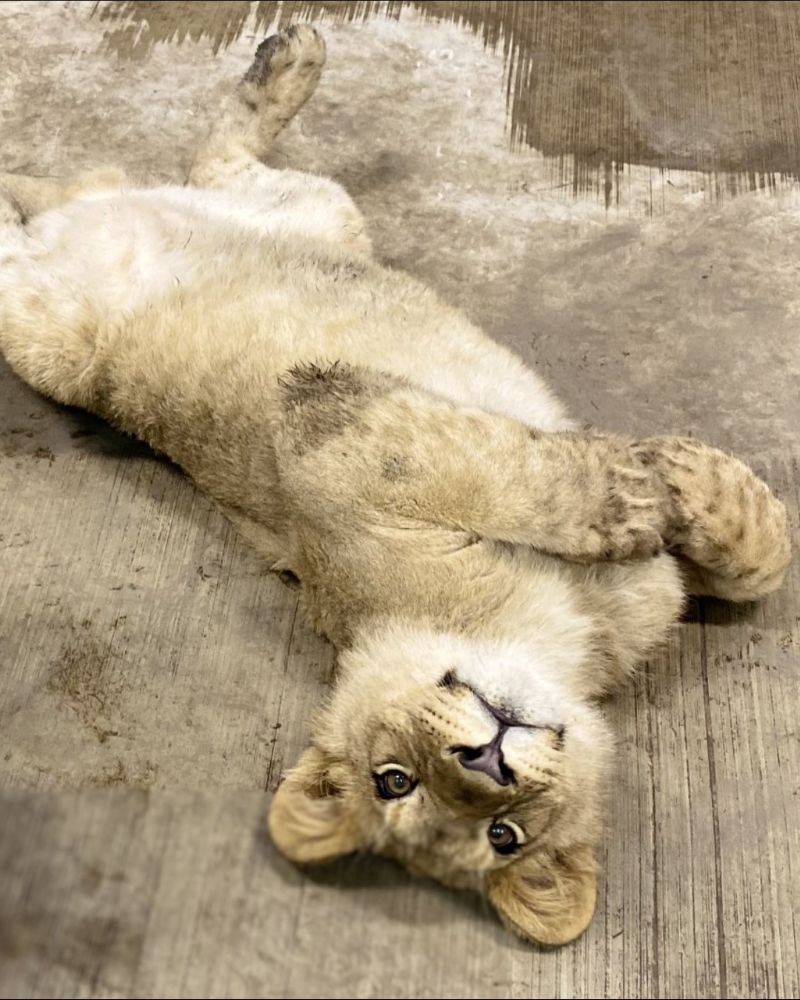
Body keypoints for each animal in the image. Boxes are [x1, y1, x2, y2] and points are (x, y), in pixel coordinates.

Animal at [0, 26, 790, 946]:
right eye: (397, 781)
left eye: (504, 831)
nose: (487, 759)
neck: (556, 639)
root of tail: (75, 205)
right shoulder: (329, 432)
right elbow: (496, 466)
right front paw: (639, 490)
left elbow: (754, 566)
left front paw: (700, 479)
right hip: (58, 348)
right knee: (25, 248)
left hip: (320, 212)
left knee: (214, 163)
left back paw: (288, 60)